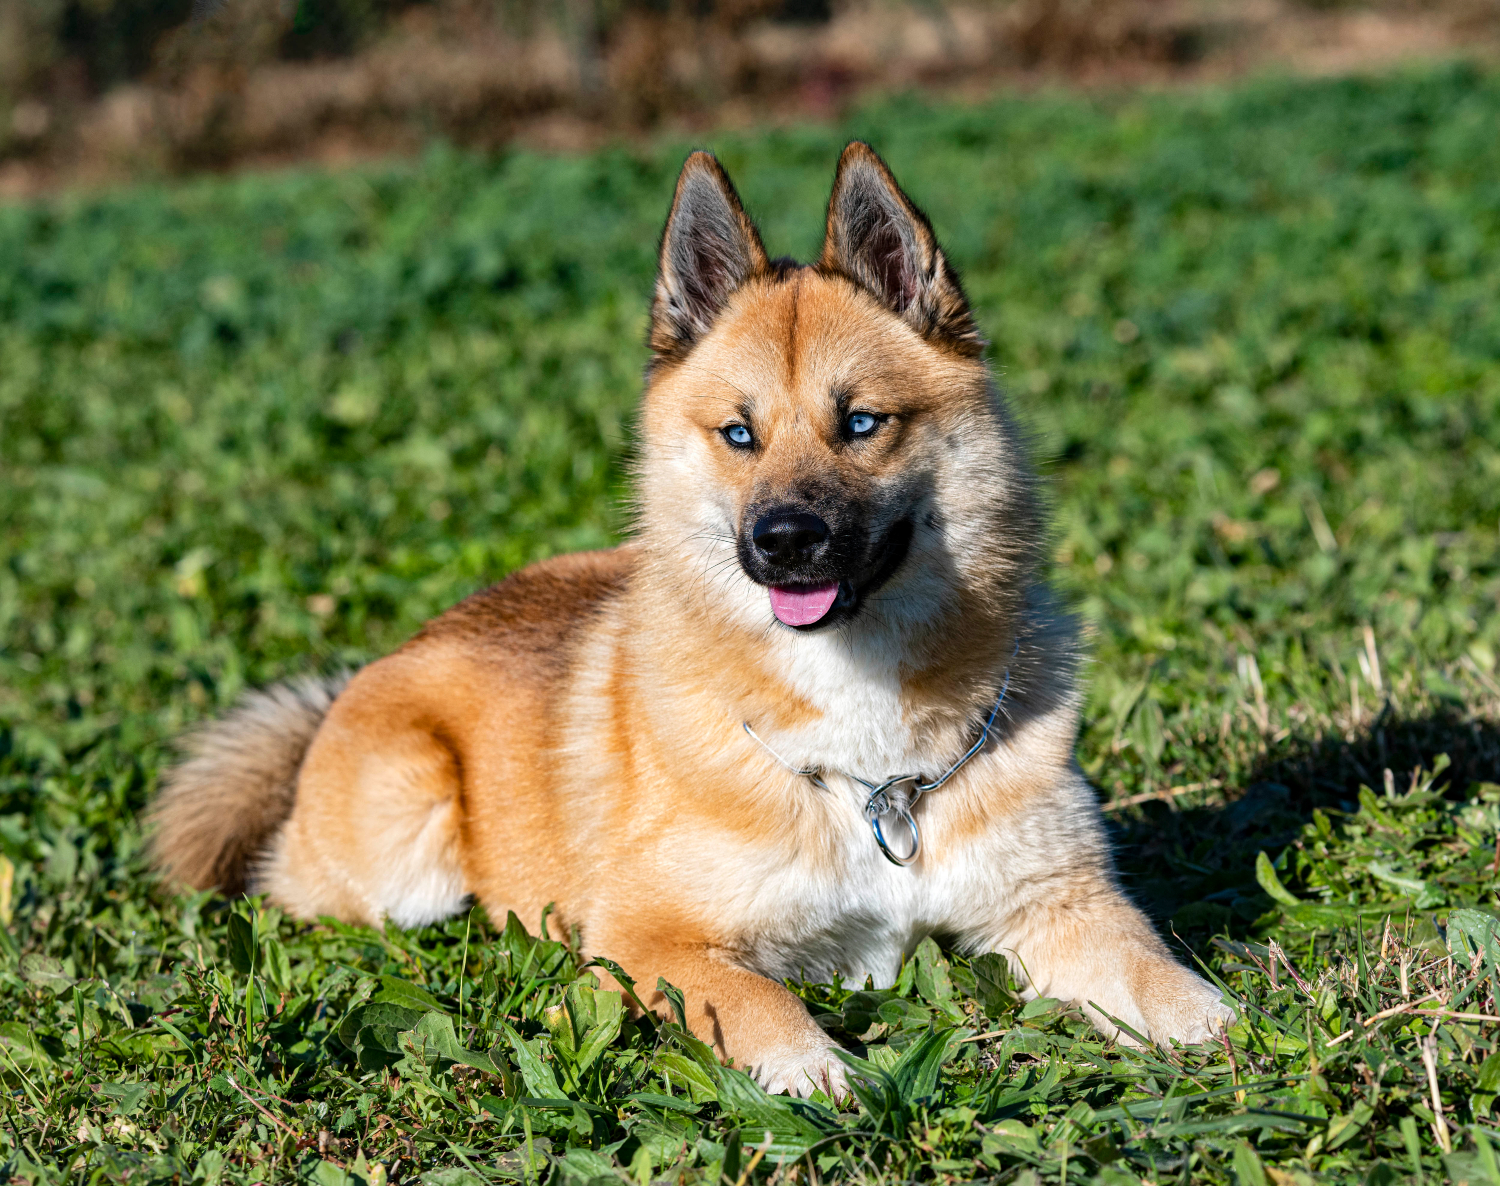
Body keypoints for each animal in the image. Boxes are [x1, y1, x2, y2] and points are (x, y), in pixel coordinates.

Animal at [149, 143, 1230, 1097]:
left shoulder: (1059, 905)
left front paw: (1227, 1031)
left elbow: (1159, 976)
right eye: (739, 433)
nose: (784, 540)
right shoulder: (648, 938)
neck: (875, 778)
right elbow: (758, 1004)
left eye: (862, 423)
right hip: (403, 851)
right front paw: (816, 1076)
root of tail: (369, 672)